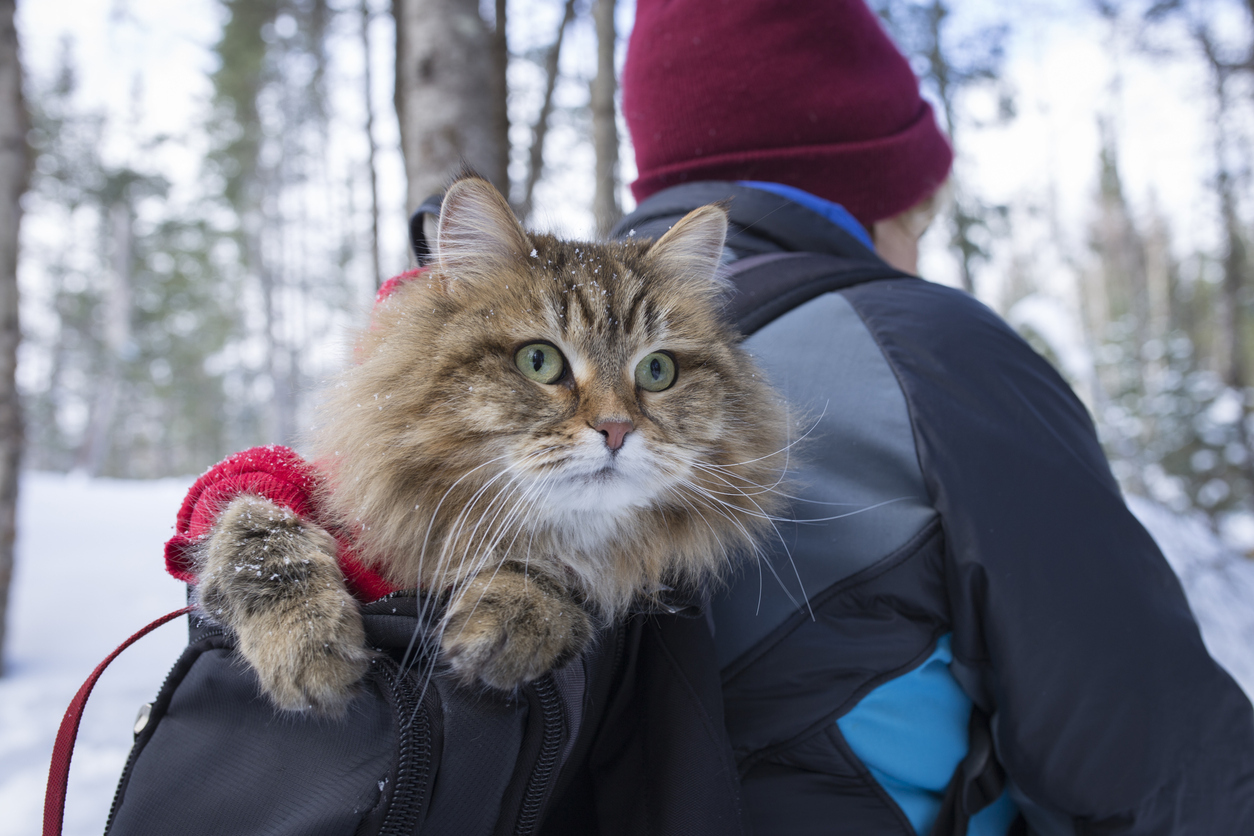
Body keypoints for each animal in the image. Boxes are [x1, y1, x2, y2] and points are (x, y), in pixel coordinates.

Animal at [193, 175, 782, 711]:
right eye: (539, 361)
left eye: (657, 371)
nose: (617, 429)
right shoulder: (275, 484)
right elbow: (259, 527)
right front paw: (306, 644)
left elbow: (560, 568)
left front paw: (517, 611)